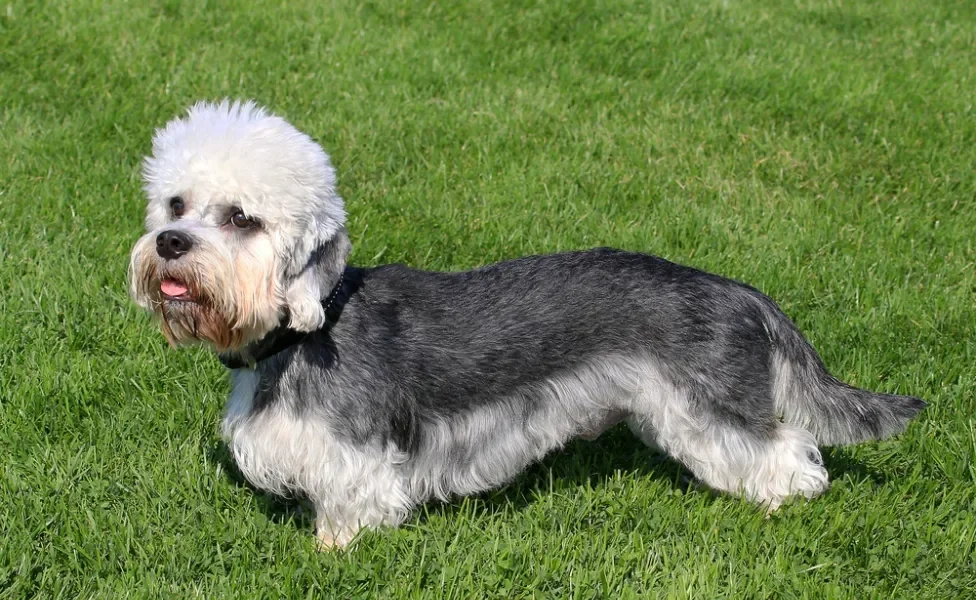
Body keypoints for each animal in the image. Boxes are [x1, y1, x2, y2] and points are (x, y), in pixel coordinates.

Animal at [127, 99, 924, 548]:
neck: (305, 332)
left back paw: (781, 502)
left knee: (789, 454)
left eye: (242, 218)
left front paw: (330, 551)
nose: (170, 244)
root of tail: (742, 292)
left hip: (713, 410)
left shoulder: (356, 460)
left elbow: (350, 510)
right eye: (176, 205)